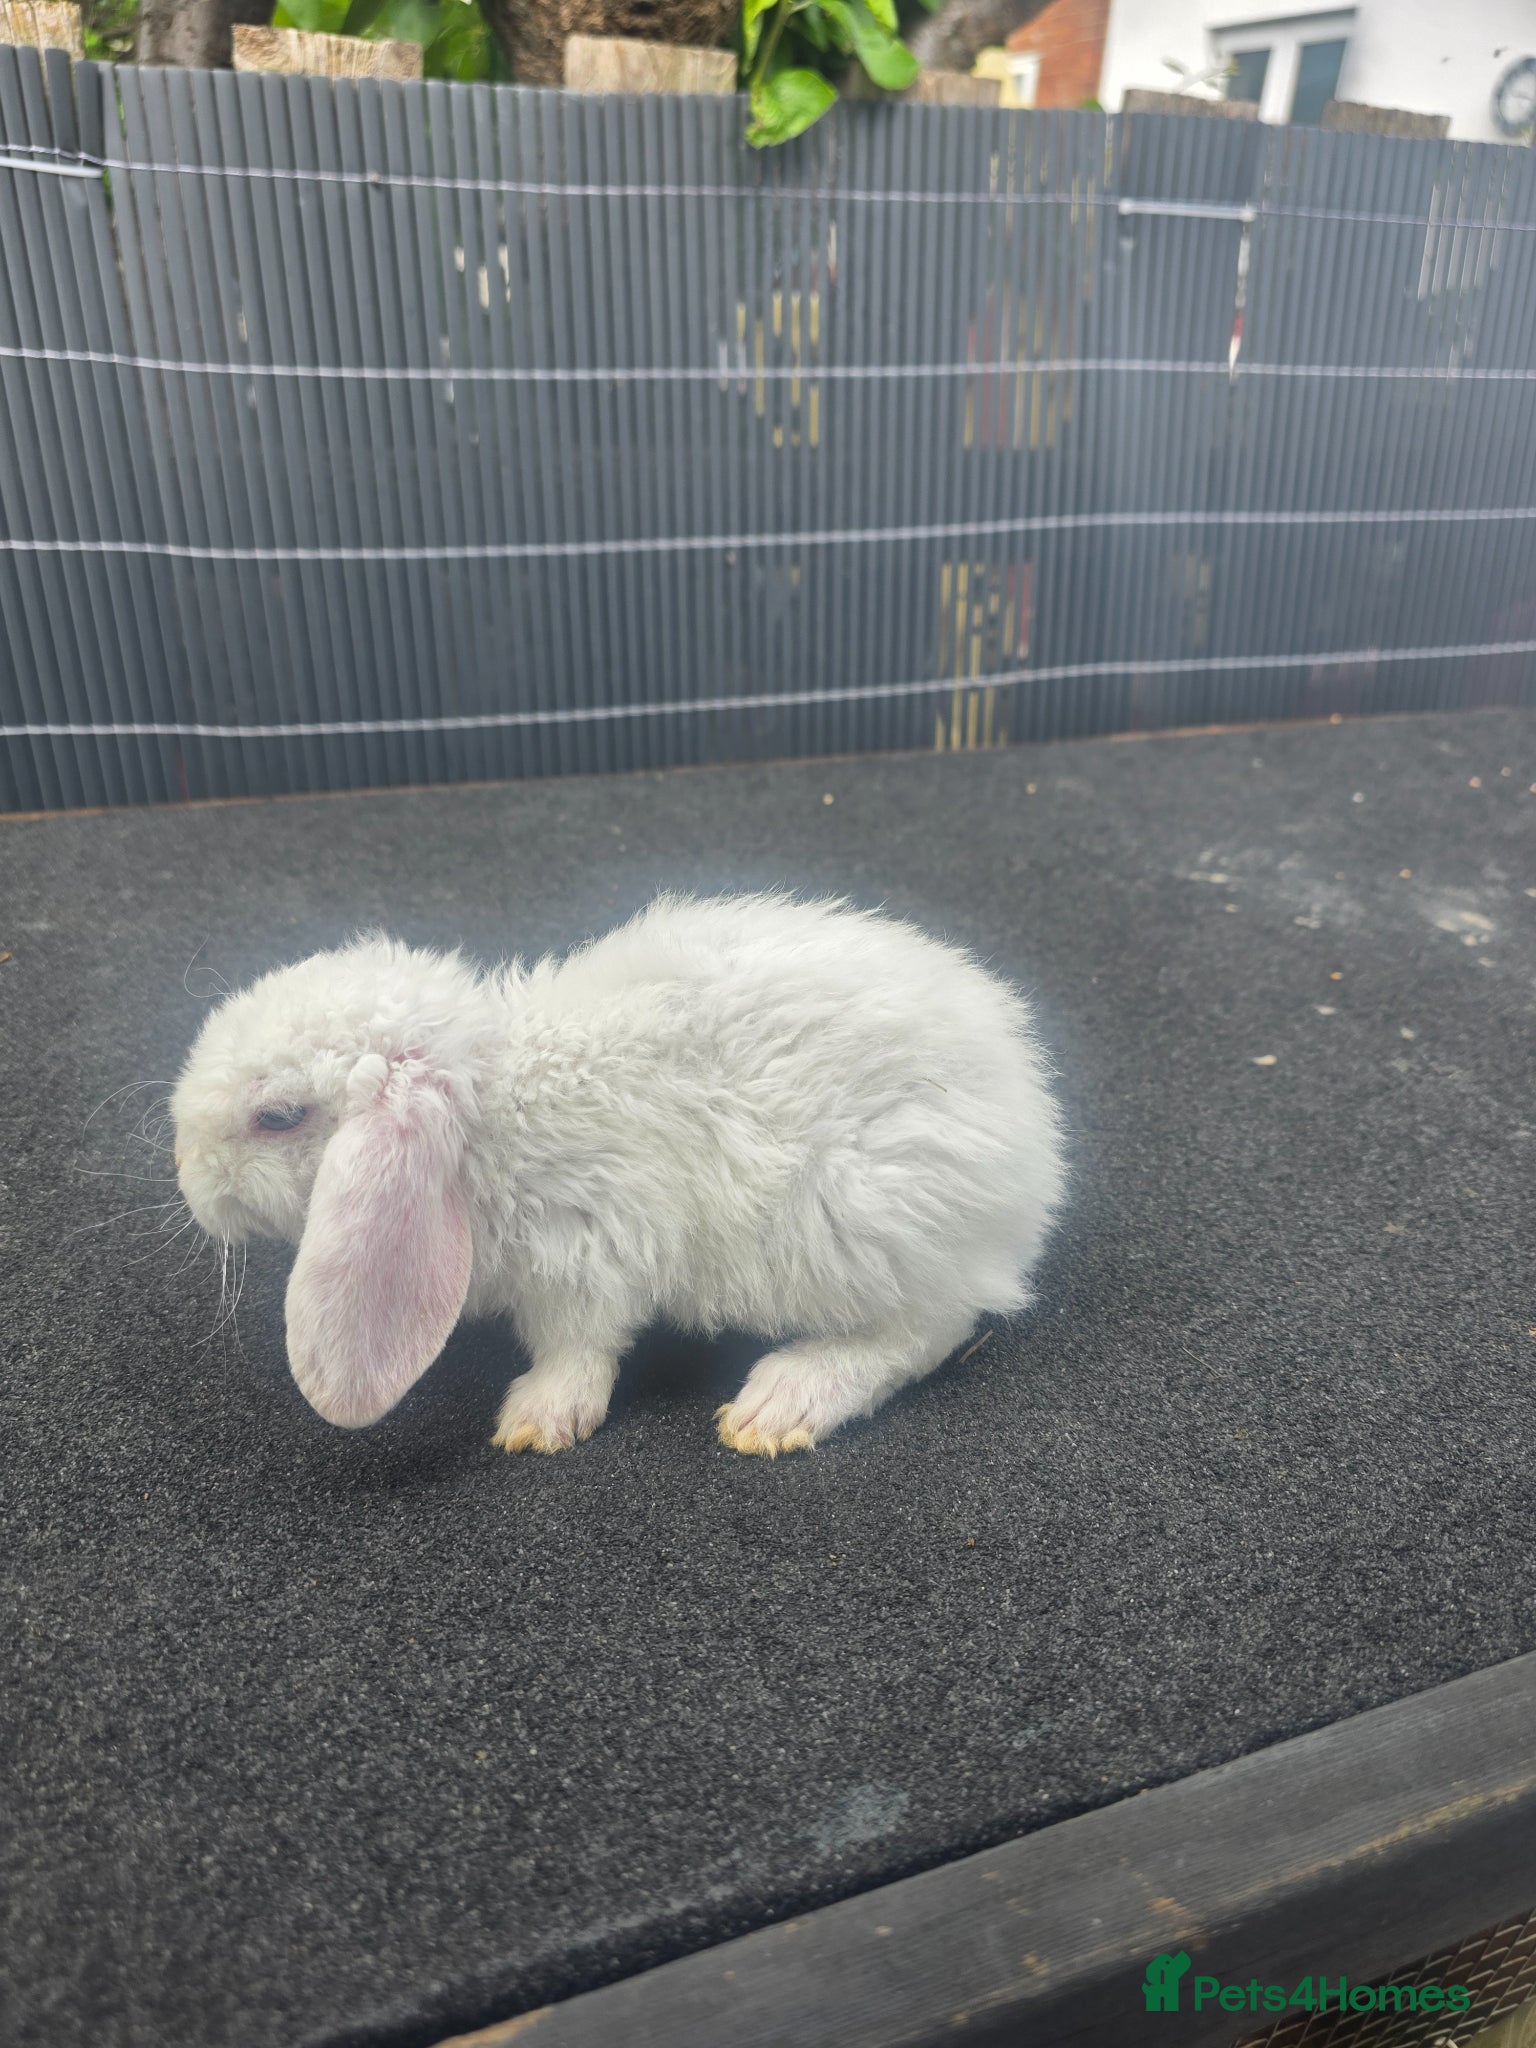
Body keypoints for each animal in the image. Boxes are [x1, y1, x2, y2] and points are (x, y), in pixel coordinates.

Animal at [170, 891, 1067, 1455]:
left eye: (277, 1117)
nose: (188, 1177)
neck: (489, 1117)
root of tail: (1032, 1166)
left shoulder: (586, 1249)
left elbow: (579, 1345)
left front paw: (537, 1419)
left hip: (855, 1219)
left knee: (928, 1330)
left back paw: (783, 1401)